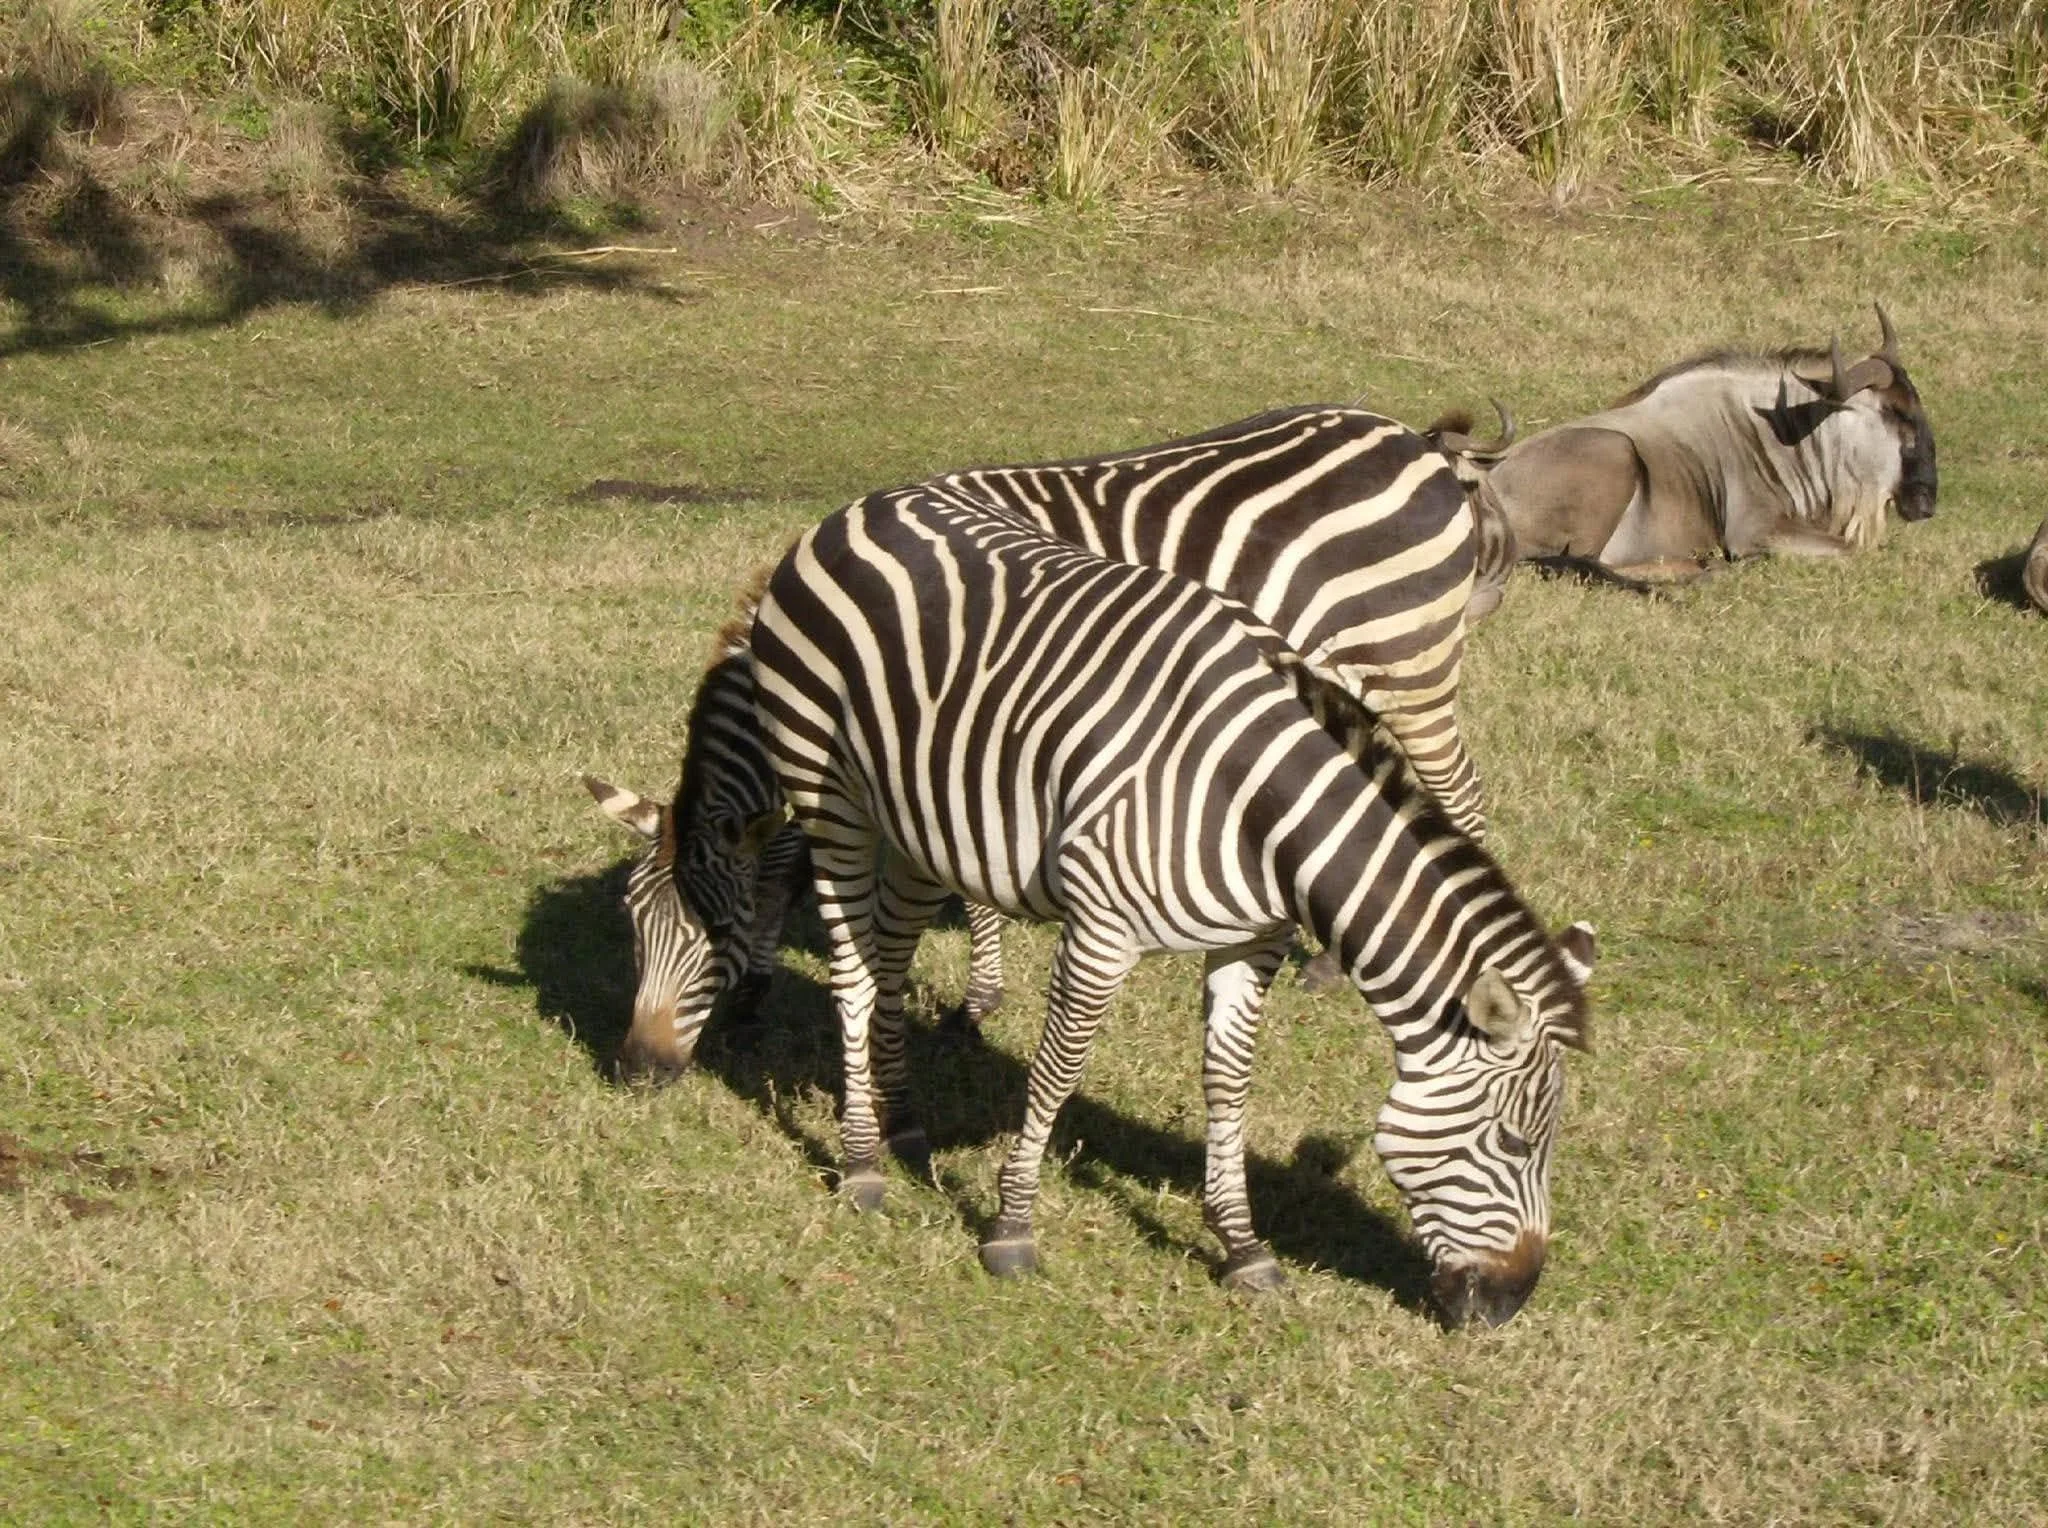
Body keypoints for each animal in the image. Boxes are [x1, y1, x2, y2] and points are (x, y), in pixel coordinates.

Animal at [751, 486, 1595, 1327]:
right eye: (1516, 1143)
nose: (1510, 1306)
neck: (1254, 801)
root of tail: (864, 505)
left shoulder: (1252, 941)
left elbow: (1229, 1080)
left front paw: (1242, 1246)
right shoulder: (1100, 931)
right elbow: (1057, 1071)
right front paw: (1012, 1227)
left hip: (923, 823)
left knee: (890, 956)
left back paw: (903, 1123)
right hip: (830, 795)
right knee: (854, 973)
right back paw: (861, 1161)